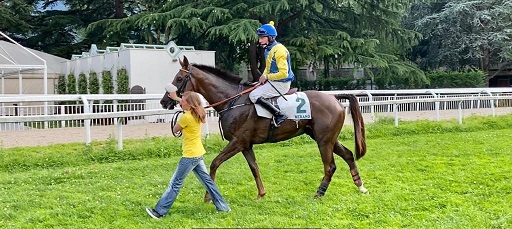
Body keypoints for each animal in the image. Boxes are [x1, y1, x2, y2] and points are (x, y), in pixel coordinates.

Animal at [161, 56, 368, 199]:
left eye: (179, 78)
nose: (164, 101)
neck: (233, 101)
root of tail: (334, 98)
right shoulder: (246, 145)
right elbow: (254, 168)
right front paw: (261, 193)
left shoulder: (238, 142)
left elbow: (215, 163)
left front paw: (208, 197)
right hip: (326, 138)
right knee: (348, 155)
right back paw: (360, 185)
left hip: (324, 141)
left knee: (330, 166)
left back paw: (319, 192)